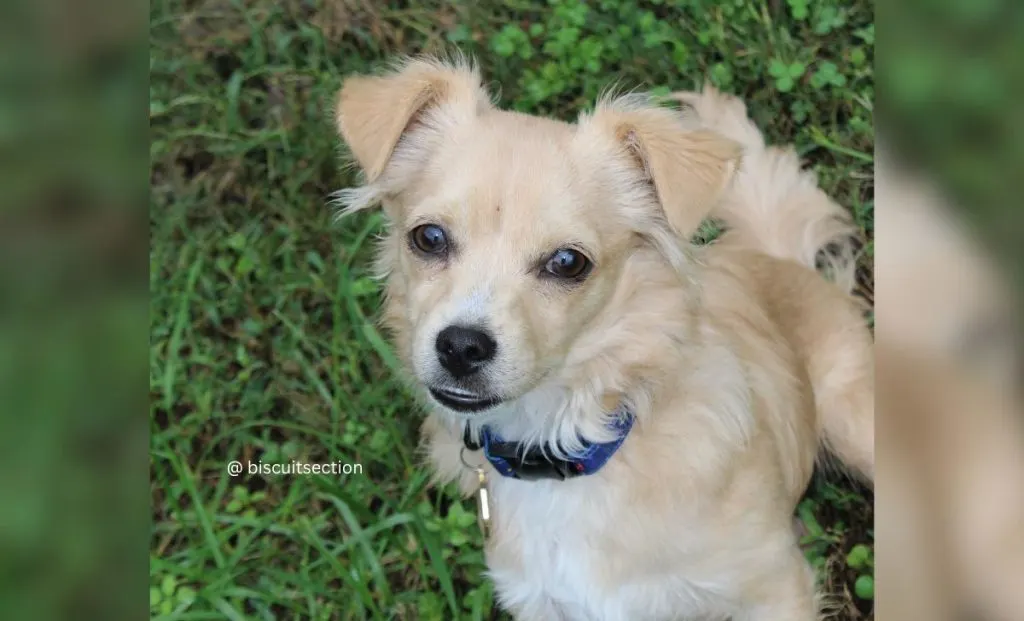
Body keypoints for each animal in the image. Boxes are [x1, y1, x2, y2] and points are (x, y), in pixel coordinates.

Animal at [333, 55, 872, 618]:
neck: (568, 441)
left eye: (568, 262)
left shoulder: (774, 585)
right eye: (429, 237)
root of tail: (777, 258)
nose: (461, 346)